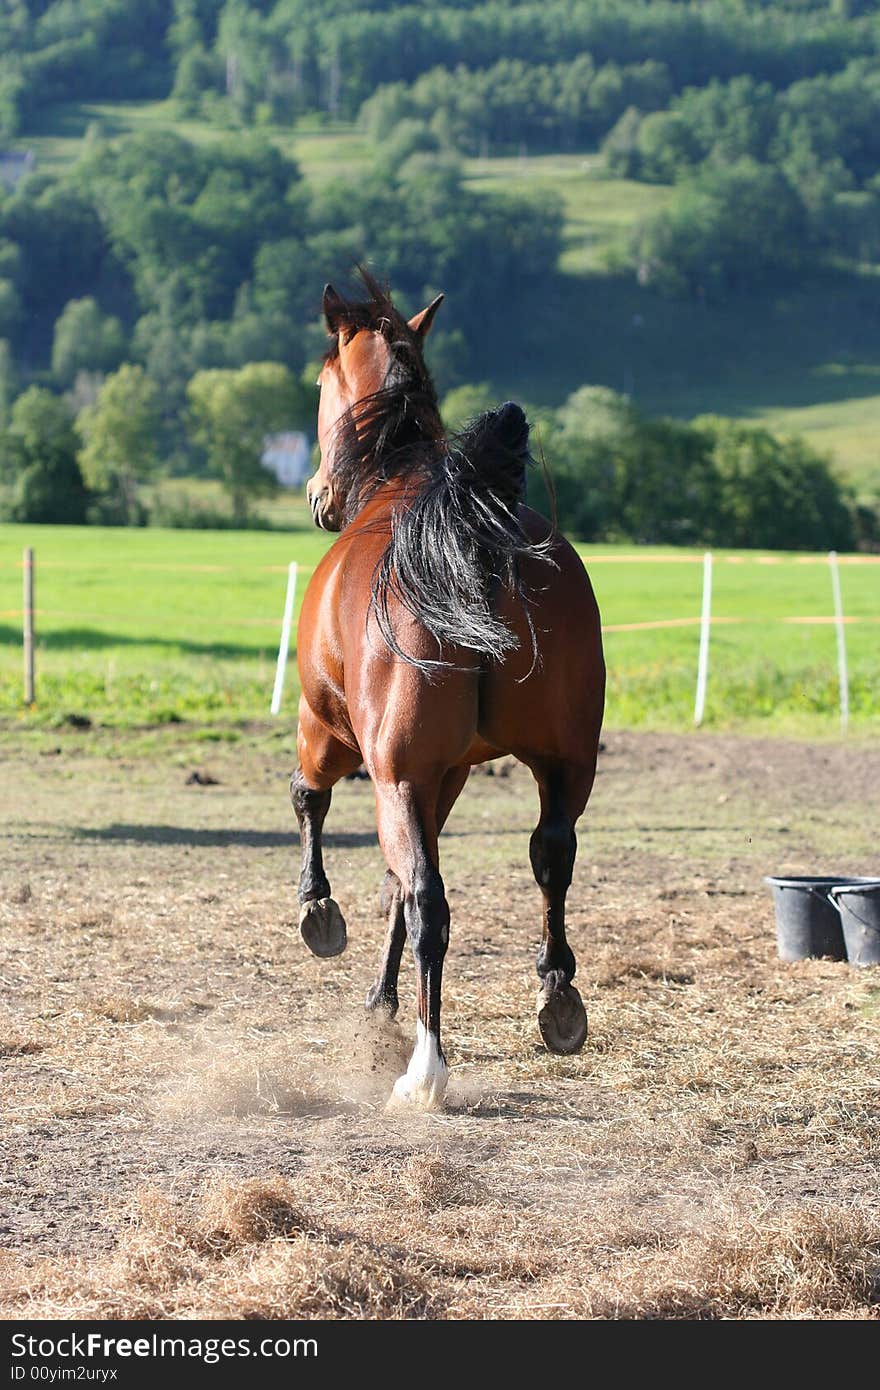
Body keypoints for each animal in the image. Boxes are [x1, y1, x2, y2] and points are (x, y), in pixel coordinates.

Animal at [291, 279, 600, 1106]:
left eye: (321, 378)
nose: (319, 496)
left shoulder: (330, 732)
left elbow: (310, 802)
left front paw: (317, 909)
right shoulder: (449, 773)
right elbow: (397, 881)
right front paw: (379, 998)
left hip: (391, 773)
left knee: (430, 900)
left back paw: (426, 1067)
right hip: (564, 766)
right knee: (550, 856)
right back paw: (557, 997)